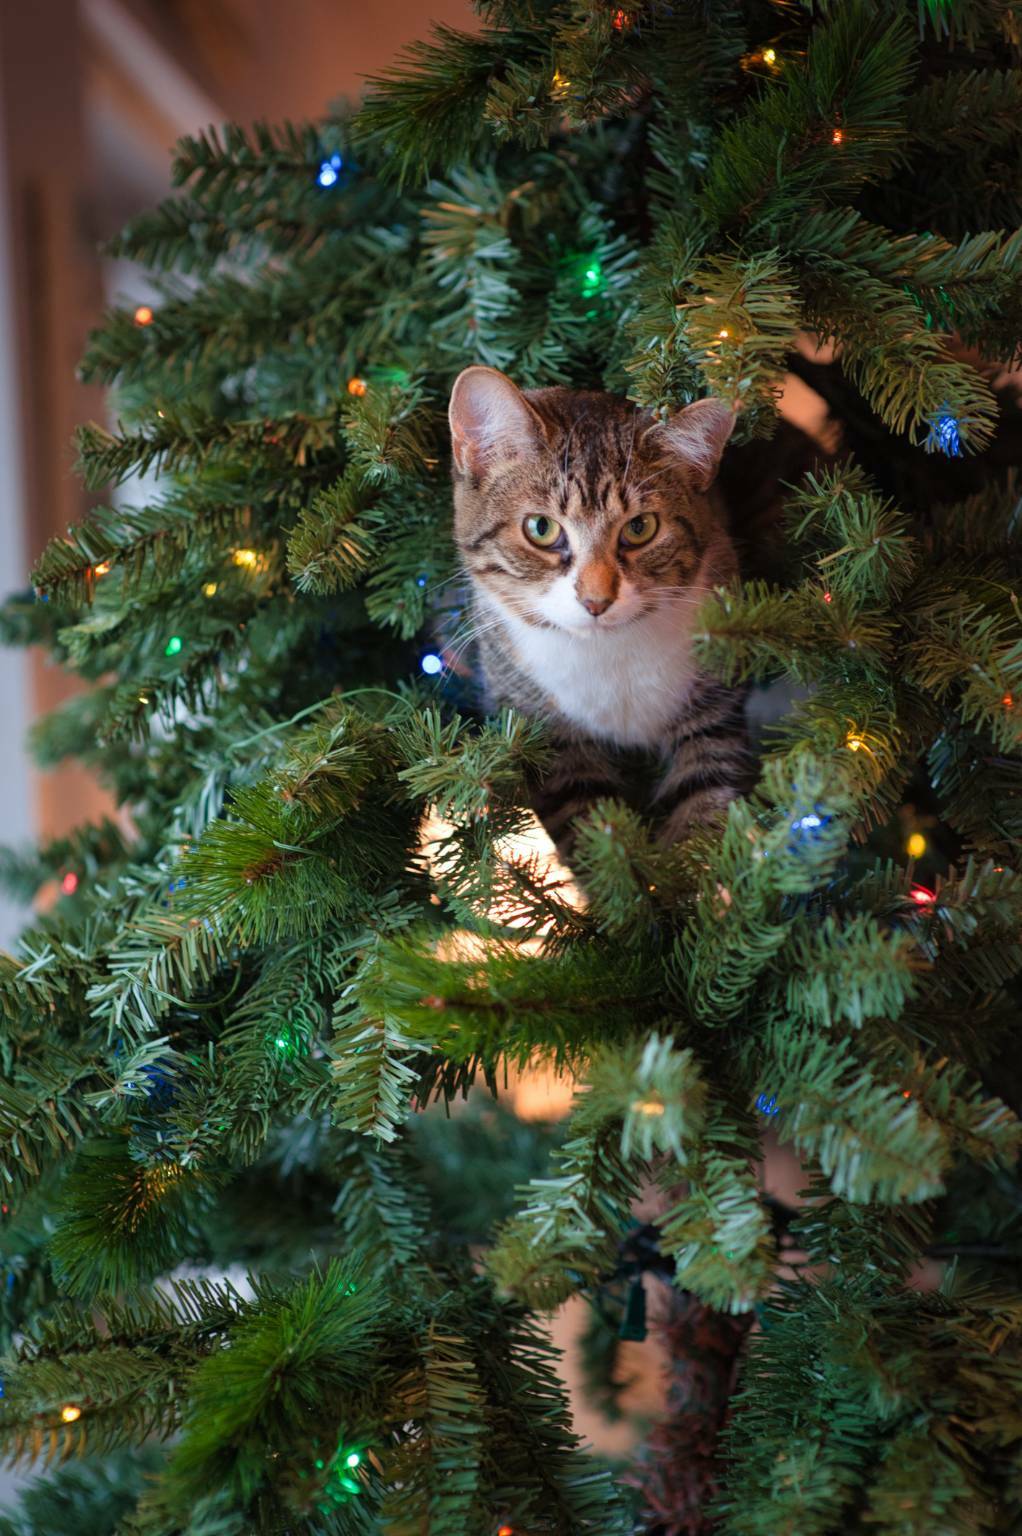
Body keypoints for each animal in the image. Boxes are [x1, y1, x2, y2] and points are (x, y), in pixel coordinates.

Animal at [445, 367, 749, 860]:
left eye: (641, 528)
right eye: (541, 528)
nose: (596, 600)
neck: (607, 655)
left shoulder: (714, 701)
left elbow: (706, 793)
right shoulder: (548, 738)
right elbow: (593, 831)